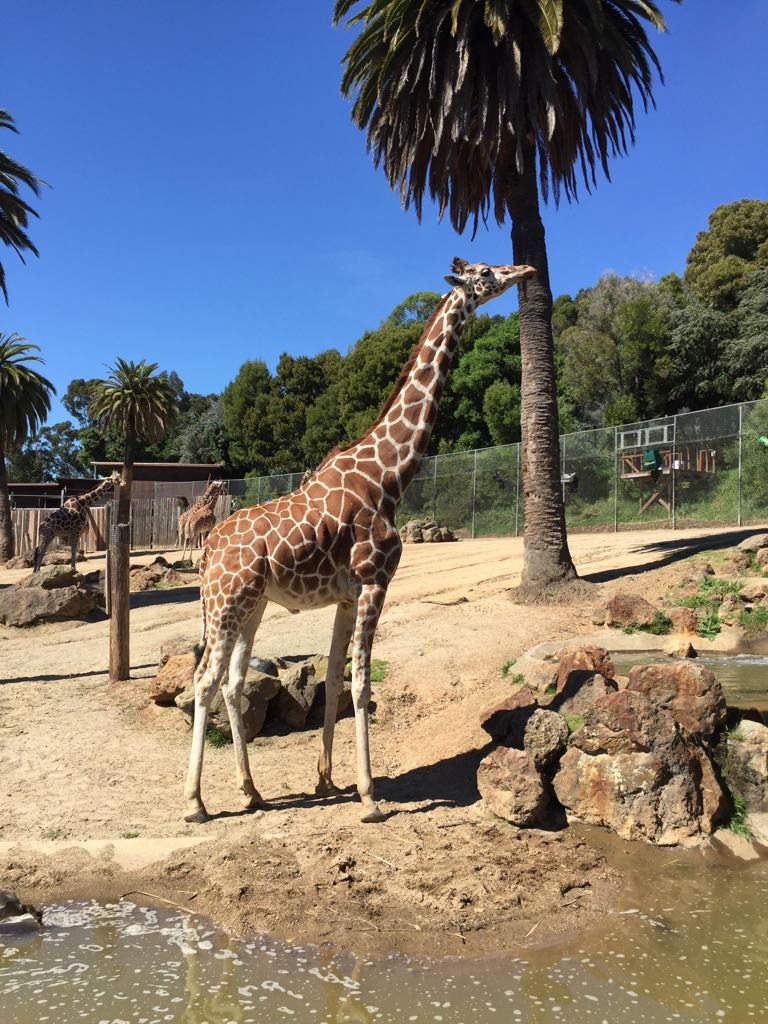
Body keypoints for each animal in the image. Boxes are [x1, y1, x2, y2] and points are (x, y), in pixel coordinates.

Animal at [183, 258, 536, 823]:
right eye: (485, 273)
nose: (523, 268)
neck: (389, 477)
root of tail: (208, 548)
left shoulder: (347, 596)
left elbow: (333, 681)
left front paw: (327, 780)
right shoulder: (374, 582)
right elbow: (363, 684)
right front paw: (369, 797)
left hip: (251, 606)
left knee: (233, 683)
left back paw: (251, 791)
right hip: (225, 602)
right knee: (204, 681)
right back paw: (196, 803)